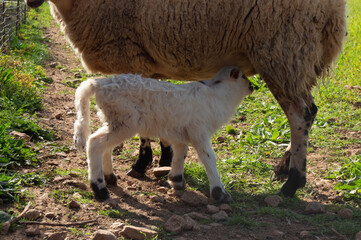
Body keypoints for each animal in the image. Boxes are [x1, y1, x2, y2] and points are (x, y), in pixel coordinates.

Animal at [73, 66, 253, 202]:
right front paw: (219, 193)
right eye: (244, 76)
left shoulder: (182, 132)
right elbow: (209, 158)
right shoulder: (199, 131)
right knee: (95, 143)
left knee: (105, 145)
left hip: (113, 120)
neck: (219, 97)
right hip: (124, 122)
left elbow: (180, 153)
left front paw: (176, 180)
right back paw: (99, 188)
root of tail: (99, 84)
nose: (253, 87)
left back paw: (110, 177)